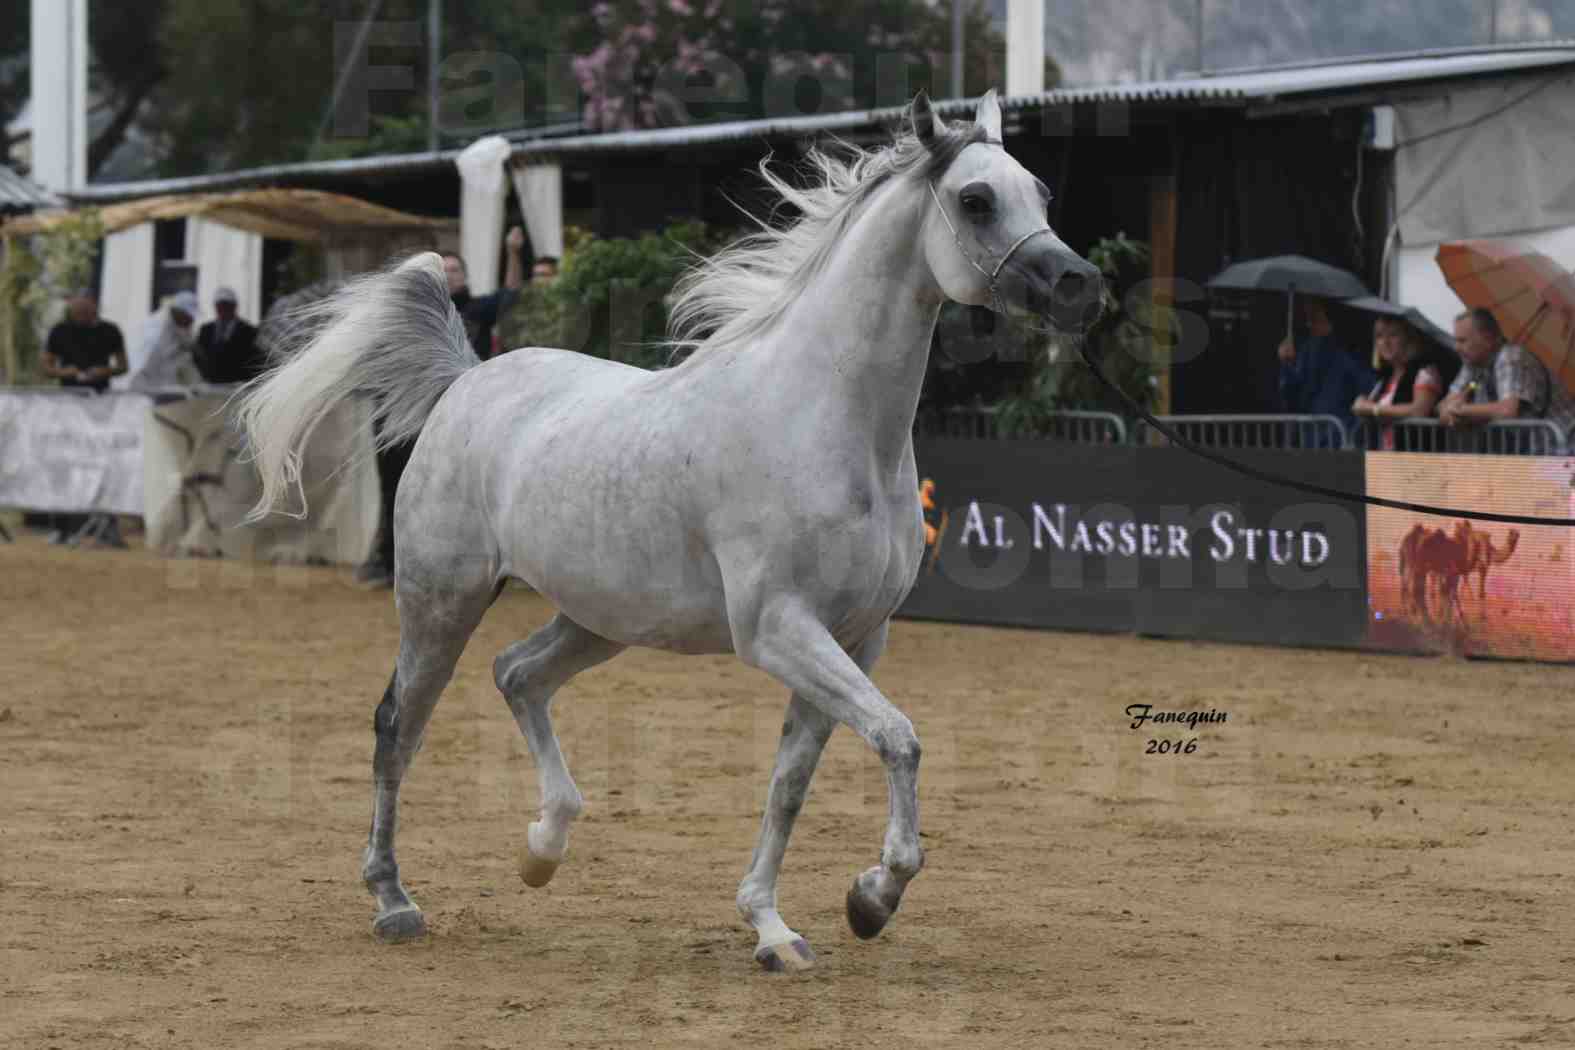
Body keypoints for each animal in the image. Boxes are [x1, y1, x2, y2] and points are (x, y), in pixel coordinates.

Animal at [242, 92, 1108, 976]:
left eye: (1040, 191)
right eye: (975, 200)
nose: (1081, 287)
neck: (826, 418)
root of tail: (467, 377)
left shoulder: (855, 638)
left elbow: (792, 783)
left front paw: (784, 926)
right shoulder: (779, 629)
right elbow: (899, 740)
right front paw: (872, 896)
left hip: (600, 618)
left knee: (517, 675)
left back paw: (542, 849)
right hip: (440, 599)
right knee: (399, 726)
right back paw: (393, 900)